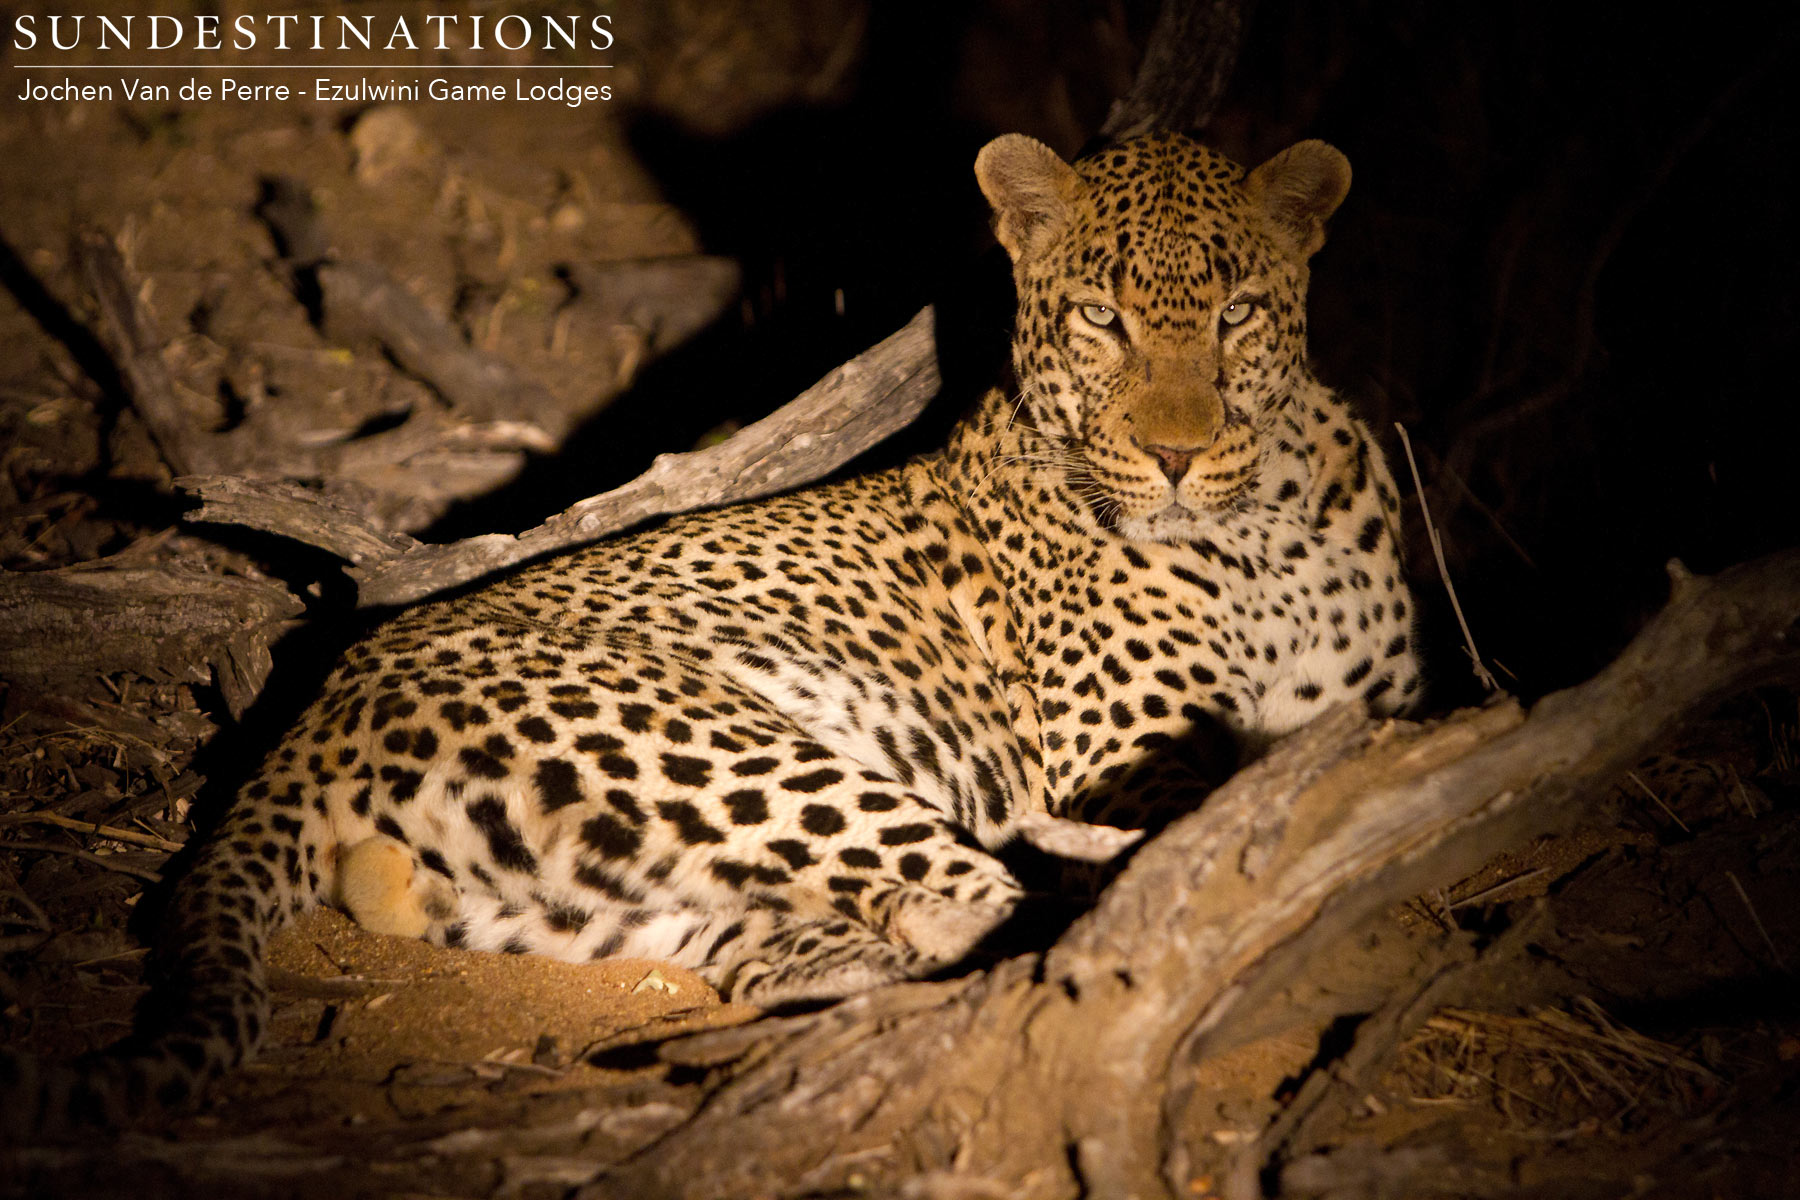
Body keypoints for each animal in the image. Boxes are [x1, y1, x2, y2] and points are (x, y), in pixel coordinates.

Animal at [3, 130, 1420, 1129]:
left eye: (1237, 313)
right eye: (1102, 318)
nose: (1176, 457)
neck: (1268, 527)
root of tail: (309, 721)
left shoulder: (1381, 704)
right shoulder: (1127, 747)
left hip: (600, 898)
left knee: (818, 943)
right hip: (730, 747)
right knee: (998, 906)